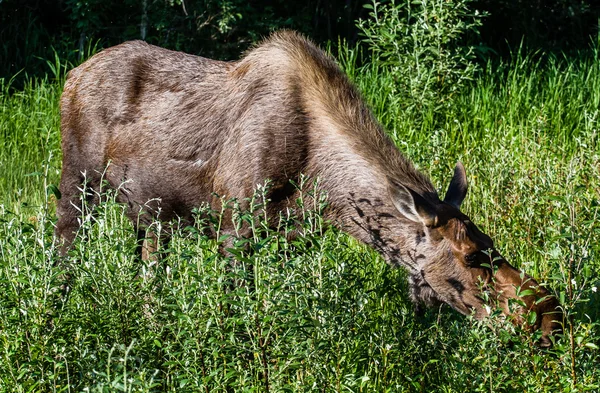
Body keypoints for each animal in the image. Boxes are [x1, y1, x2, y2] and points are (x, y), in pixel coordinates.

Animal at [56, 29, 564, 344]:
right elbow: (238, 313)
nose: (549, 318)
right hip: (78, 182)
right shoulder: (234, 227)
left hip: (147, 213)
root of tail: (71, 75)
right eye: (473, 257)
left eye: (491, 242)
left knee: (146, 272)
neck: (323, 187)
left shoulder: (290, 236)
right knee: (63, 252)